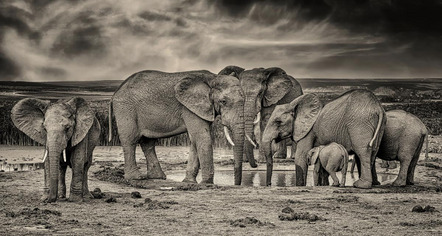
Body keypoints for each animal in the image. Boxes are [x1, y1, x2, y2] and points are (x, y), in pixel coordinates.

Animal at [109, 69, 256, 185]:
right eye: (223, 101)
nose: (236, 184)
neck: (213, 78)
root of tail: (115, 92)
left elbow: (195, 140)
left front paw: (189, 182)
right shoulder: (189, 107)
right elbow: (203, 138)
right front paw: (207, 183)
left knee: (148, 143)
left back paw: (158, 177)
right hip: (125, 109)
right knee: (130, 140)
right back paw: (136, 178)